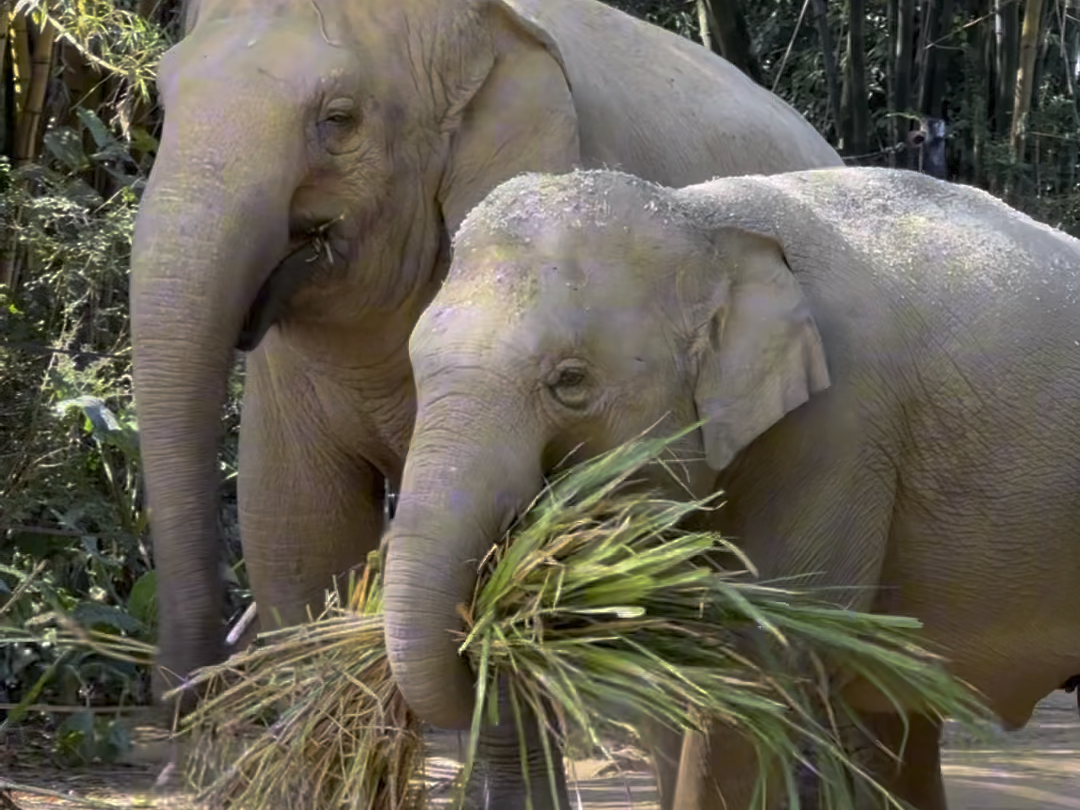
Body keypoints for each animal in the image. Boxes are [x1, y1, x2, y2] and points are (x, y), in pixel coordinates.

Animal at [382, 166, 1080, 810]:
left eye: (570, 381)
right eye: (414, 364)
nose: (499, 614)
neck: (704, 222)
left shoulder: (838, 432)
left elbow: (751, 668)